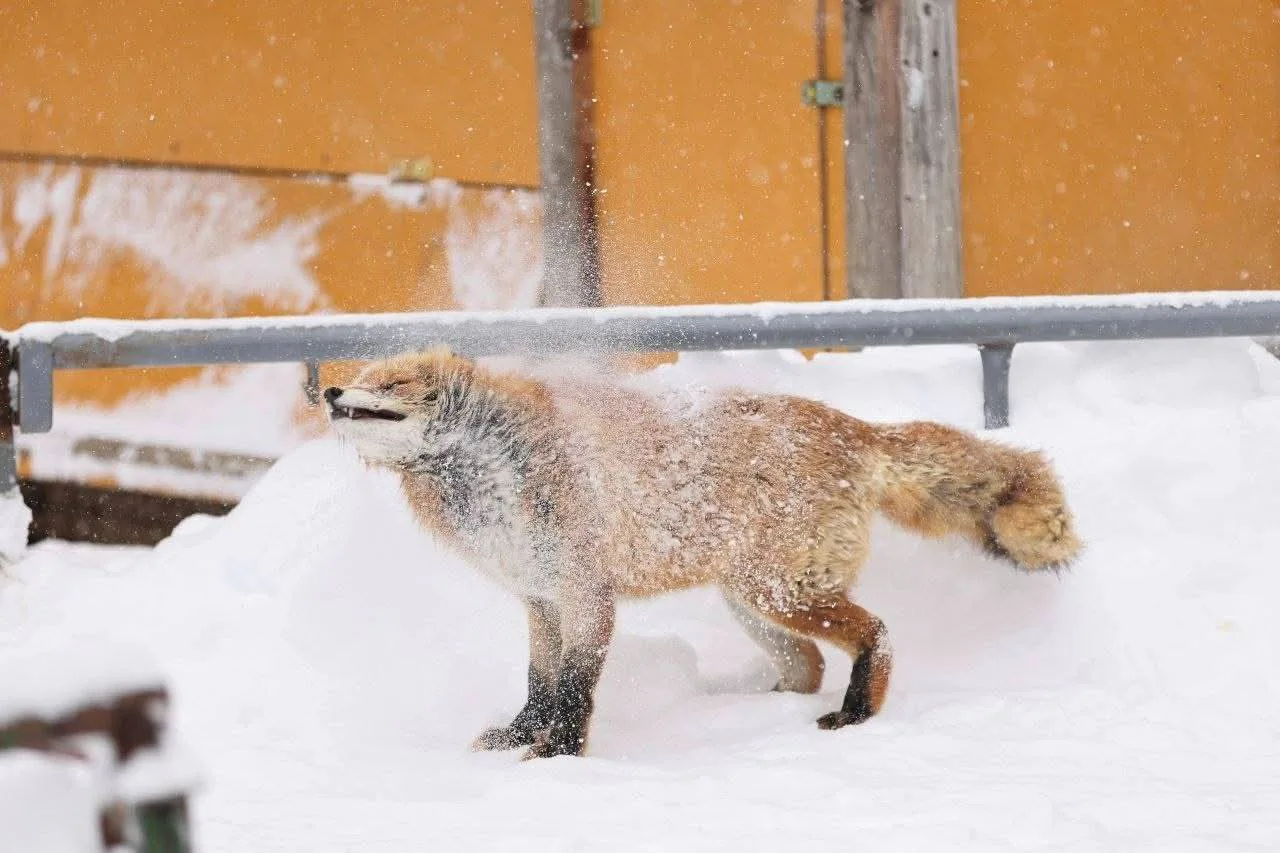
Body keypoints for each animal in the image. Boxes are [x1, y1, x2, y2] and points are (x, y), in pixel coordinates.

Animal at [325, 348, 1080, 760]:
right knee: (806, 666)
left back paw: (857, 714)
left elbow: (573, 688)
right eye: (360, 375)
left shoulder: (586, 592)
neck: (491, 482)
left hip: (781, 592)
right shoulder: (539, 596)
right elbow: (539, 683)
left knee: (878, 633)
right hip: (753, 604)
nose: (330, 391)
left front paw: (560, 756)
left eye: (389, 385)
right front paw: (519, 739)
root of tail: (848, 426)